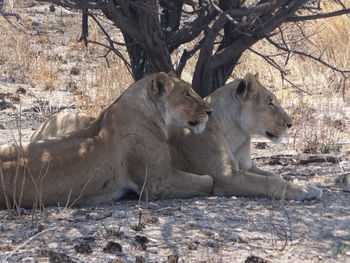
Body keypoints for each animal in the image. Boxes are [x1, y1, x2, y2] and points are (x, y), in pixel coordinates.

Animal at [30, 73, 322, 201]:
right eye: (270, 102)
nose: (291, 123)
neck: (238, 134)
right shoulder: (226, 177)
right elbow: (270, 184)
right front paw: (305, 191)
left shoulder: (245, 166)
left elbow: (275, 176)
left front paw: (305, 185)